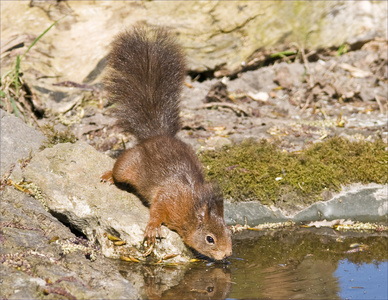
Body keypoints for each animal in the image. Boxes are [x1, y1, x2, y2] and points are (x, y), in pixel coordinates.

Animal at [101, 26, 232, 260]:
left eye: (230, 232)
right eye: (210, 239)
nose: (227, 255)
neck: (191, 209)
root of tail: (156, 136)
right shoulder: (169, 197)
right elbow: (157, 209)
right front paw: (153, 228)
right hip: (129, 164)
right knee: (120, 169)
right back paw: (109, 175)